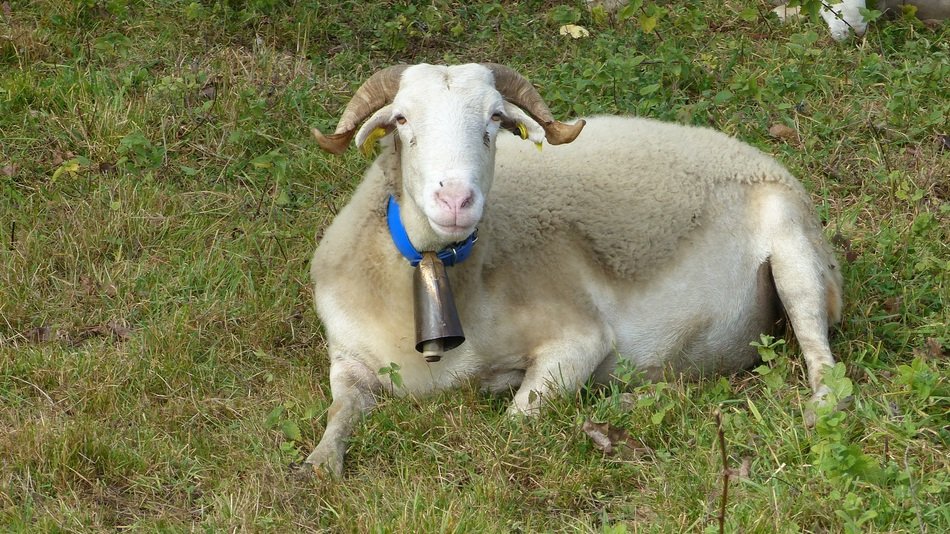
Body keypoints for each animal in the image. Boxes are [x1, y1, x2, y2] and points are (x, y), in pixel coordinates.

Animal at [305, 63, 843, 477]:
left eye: (495, 117)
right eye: (401, 118)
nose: (456, 200)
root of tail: (757, 153)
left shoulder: (578, 338)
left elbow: (515, 424)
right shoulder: (348, 359)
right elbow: (338, 410)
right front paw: (319, 464)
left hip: (795, 254)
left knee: (823, 364)